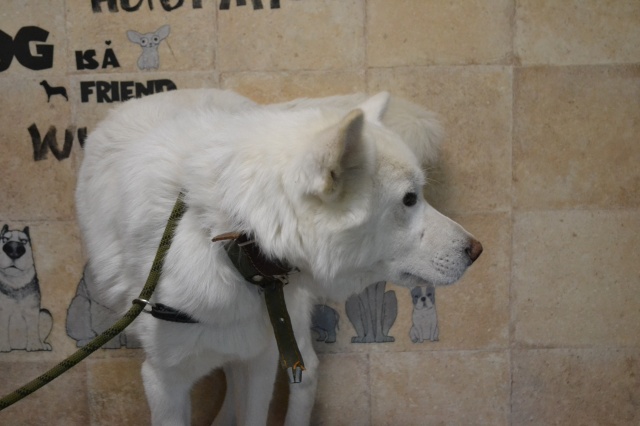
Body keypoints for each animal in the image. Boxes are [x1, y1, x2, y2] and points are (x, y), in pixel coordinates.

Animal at [75, 88, 482, 425]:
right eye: (409, 199)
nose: (476, 250)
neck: (228, 235)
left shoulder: (261, 360)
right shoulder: (164, 380)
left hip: (285, 328)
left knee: (307, 371)